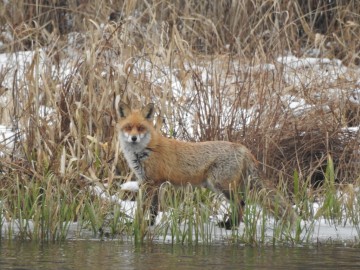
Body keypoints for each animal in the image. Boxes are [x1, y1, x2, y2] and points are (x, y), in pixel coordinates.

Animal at [116, 100, 298, 228]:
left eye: (140, 128)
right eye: (128, 127)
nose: (133, 138)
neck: (146, 150)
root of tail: (242, 148)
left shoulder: (150, 183)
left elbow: (142, 208)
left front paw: (137, 223)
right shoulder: (153, 183)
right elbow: (153, 210)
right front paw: (150, 224)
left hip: (221, 185)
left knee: (239, 204)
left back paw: (229, 226)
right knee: (243, 203)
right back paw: (230, 224)